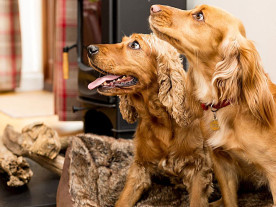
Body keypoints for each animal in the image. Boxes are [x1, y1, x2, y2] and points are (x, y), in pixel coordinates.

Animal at [87, 33, 212, 206]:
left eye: (134, 45)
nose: (89, 48)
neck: (161, 120)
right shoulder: (140, 168)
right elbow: (123, 201)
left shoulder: (199, 170)